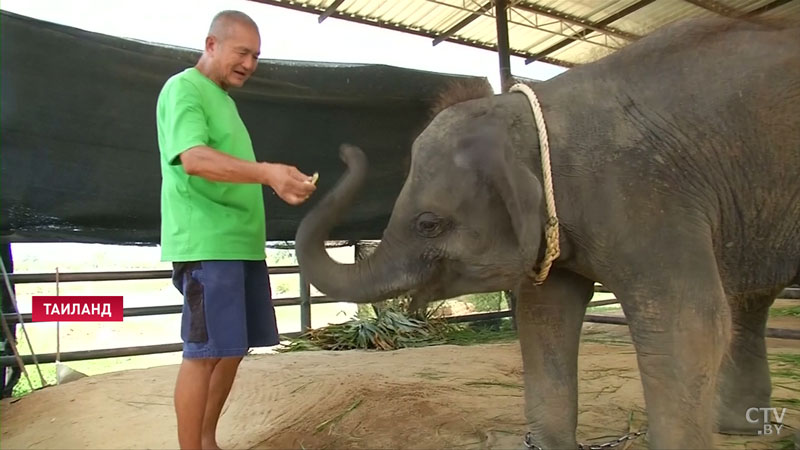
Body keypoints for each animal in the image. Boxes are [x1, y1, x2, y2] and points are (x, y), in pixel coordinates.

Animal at [296, 15, 800, 448]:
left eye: (428, 224)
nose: (343, 152)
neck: (532, 111)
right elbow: (544, 317)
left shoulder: (648, 194)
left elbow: (687, 322)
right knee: (749, 299)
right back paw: (739, 427)